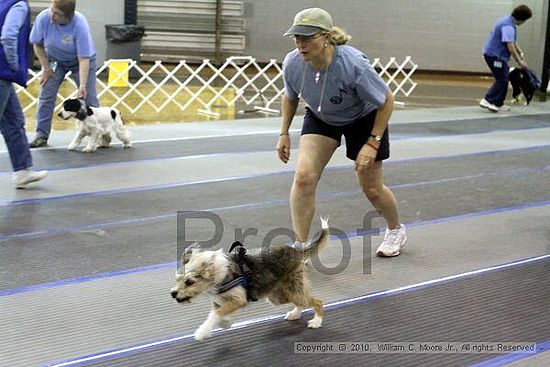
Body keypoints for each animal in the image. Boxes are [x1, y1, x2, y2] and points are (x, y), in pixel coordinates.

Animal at [170, 218, 330, 342]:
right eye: (177, 279)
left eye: (189, 282)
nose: (173, 293)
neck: (220, 275)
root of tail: (296, 250)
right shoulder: (220, 301)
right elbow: (216, 313)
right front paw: (226, 323)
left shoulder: (238, 300)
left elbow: (217, 314)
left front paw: (202, 332)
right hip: (278, 296)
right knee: (302, 301)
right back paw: (295, 314)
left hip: (291, 289)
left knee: (317, 301)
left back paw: (316, 321)